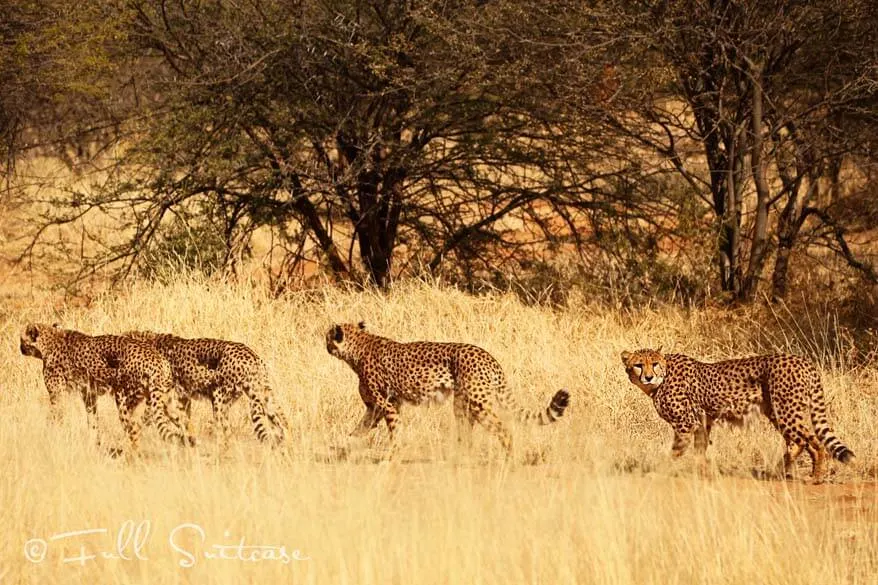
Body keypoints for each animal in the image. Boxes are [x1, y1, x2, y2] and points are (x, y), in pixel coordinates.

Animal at [18, 322, 194, 450]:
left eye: (21, 340)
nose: (20, 349)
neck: (51, 339)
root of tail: (158, 359)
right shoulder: (89, 393)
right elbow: (92, 419)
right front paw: (93, 441)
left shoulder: (57, 395)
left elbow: (54, 417)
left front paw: (46, 436)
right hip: (163, 400)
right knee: (182, 420)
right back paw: (192, 444)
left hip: (124, 399)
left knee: (134, 429)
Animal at [124, 328, 288, 448]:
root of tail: (252, 355)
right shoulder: (182, 397)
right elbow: (183, 420)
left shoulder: (169, 396)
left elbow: (146, 419)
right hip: (264, 396)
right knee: (283, 421)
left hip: (220, 397)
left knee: (223, 427)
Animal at [324, 322, 572, 454]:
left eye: (328, 337)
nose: (324, 345)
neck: (357, 348)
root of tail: (488, 356)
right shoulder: (375, 406)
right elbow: (361, 427)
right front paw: (346, 442)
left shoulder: (387, 404)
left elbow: (393, 430)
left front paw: (393, 453)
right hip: (462, 404)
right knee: (467, 433)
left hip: (479, 402)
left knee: (503, 429)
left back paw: (508, 457)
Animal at [624, 350, 856, 482]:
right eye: (638, 365)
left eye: (654, 363)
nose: (648, 377)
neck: (661, 379)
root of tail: (802, 360)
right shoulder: (701, 422)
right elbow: (700, 450)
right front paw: (703, 472)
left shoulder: (686, 423)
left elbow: (675, 451)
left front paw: (658, 472)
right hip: (777, 411)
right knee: (797, 442)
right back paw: (777, 471)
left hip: (786, 410)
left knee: (813, 441)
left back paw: (815, 477)